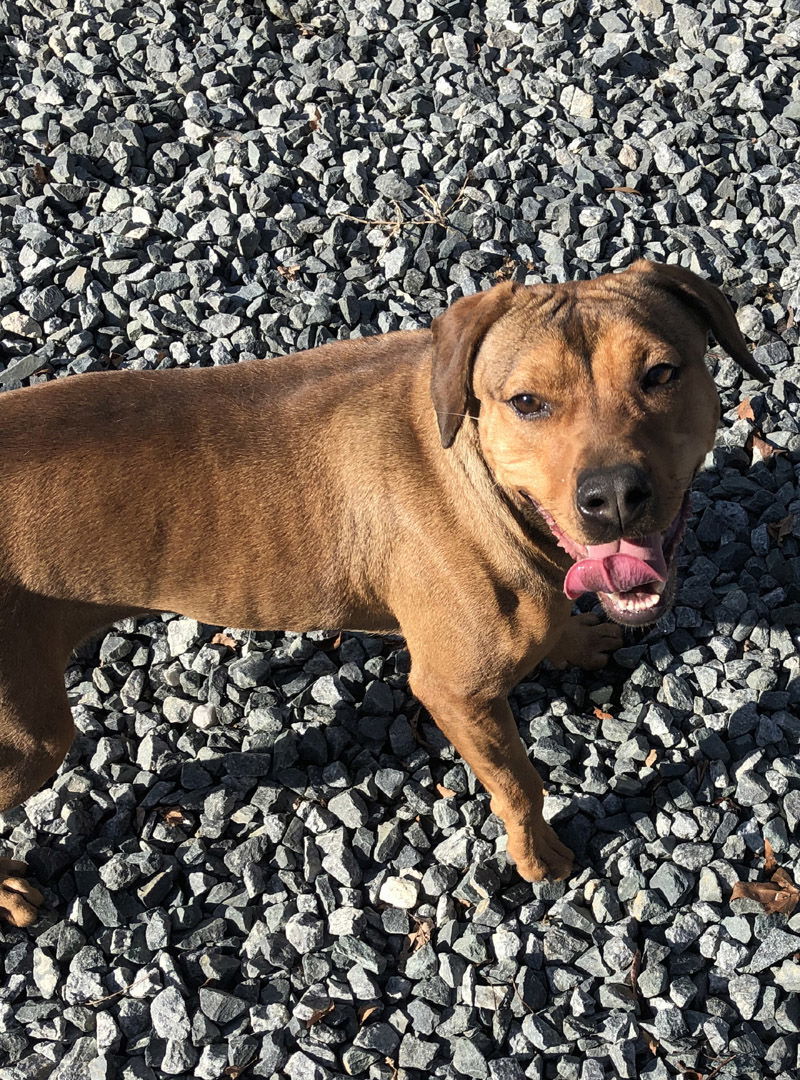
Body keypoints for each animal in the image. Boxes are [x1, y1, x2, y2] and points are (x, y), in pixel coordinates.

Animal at [0, 257, 760, 924]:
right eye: (527, 403)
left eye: (661, 373)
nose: (613, 497)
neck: (481, 480)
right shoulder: (456, 692)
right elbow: (518, 783)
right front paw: (539, 857)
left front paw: (574, 641)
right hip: (29, 736)